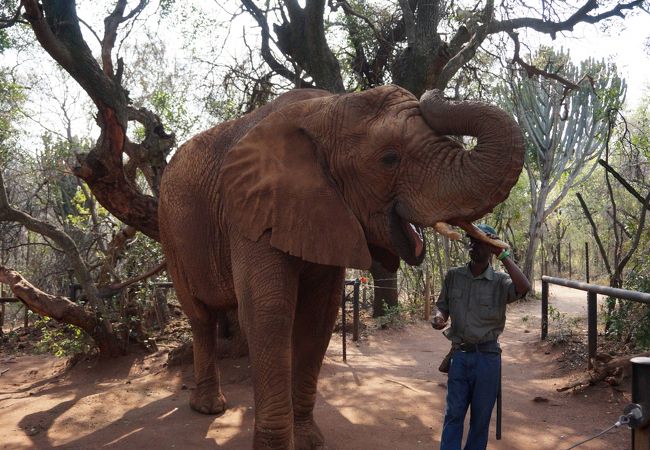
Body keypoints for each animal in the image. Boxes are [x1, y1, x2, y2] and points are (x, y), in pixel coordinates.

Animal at [157, 83, 520, 446]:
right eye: (389, 159)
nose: (432, 91)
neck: (324, 109)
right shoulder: (252, 211)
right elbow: (268, 314)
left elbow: (319, 316)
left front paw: (309, 441)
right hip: (170, 233)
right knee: (200, 316)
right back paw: (209, 408)